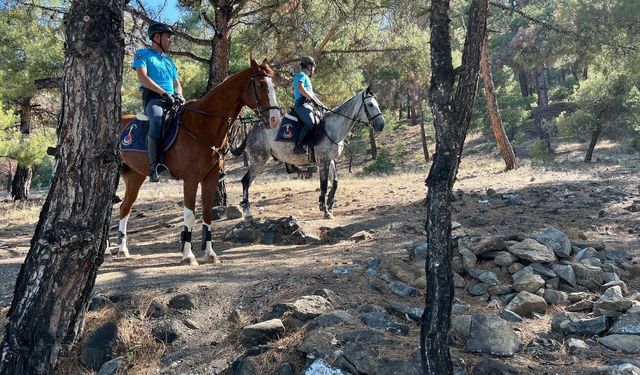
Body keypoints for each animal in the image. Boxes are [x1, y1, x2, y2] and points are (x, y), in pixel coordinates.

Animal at [117, 58, 280, 266]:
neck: (203, 124)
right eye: (260, 84)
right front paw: (188, 256)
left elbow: (207, 214)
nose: (275, 119)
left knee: (125, 208)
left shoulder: (210, 178)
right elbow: (189, 216)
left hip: (135, 177)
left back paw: (122, 249)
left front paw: (210, 254)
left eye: (274, 85)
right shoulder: (191, 179)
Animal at [236, 86, 382, 219]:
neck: (332, 127)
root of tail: (251, 130)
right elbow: (324, 185)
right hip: (259, 160)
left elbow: (334, 182)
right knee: (245, 181)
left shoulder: (330, 160)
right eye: (370, 104)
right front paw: (324, 209)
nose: (381, 125)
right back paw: (247, 211)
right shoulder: (323, 161)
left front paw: (329, 205)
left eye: (377, 104)